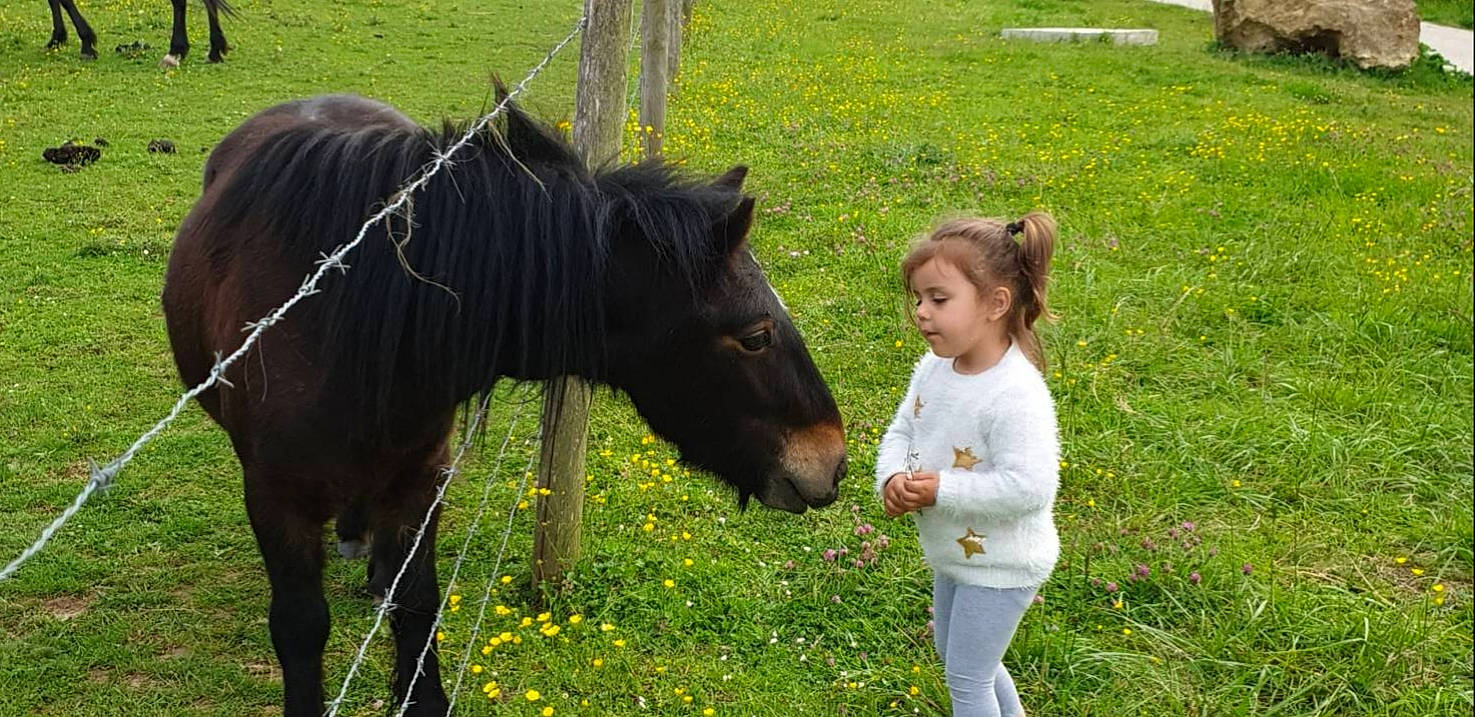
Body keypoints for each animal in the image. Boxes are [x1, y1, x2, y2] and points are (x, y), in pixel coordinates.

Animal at [160, 92, 847, 716]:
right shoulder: (274, 498)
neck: (341, 318)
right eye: (756, 336)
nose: (834, 461)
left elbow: (416, 606)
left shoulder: (420, 480)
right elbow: (301, 627)